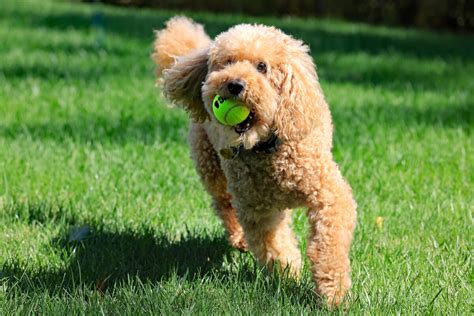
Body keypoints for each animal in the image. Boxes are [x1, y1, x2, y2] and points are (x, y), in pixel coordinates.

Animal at [154, 17, 358, 308]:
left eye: (263, 67)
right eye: (227, 62)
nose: (234, 85)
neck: (268, 149)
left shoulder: (328, 195)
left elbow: (328, 245)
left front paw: (333, 295)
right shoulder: (258, 210)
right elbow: (274, 246)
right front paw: (288, 274)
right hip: (212, 167)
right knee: (224, 203)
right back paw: (239, 238)